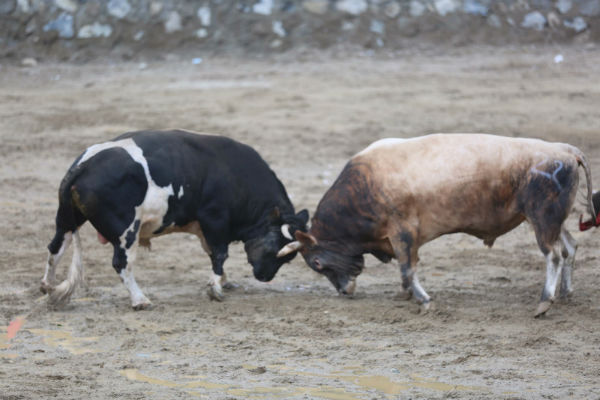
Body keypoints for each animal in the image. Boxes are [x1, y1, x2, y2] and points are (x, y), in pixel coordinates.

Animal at [41, 130, 310, 308]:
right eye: (276, 248)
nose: (265, 277)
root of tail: (85, 165)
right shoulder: (214, 220)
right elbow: (220, 254)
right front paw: (215, 288)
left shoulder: (204, 228)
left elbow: (212, 254)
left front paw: (224, 281)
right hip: (127, 232)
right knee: (121, 263)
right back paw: (139, 299)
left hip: (66, 220)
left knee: (56, 247)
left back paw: (47, 286)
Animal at [278, 134, 596, 316]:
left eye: (316, 263)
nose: (344, 292)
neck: (364, 186)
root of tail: (565, 150)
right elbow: (405, 270)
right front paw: (406, 295)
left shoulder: (403, 233)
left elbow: (407, 269)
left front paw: (423, 300)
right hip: (551, 220)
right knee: (569, 247)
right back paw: (565, 294)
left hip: (542, 218)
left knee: (553, 254)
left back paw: (544, 302)